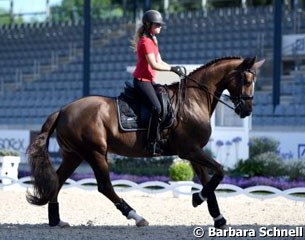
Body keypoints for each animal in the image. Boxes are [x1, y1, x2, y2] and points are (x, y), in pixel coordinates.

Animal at [26, 55, 264, 229]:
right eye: (246, 81)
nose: (246, 110)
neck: (193, 100)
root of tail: (63, 110)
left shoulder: (195, 152)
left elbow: (210, 181)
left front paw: (217, 217)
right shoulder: (190, 151)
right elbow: (220, 172)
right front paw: (198, 198)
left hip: (75, 154)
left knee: (58, 180)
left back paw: (56, 221)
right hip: (94, 153)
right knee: (105, 186)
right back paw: (136, 216)